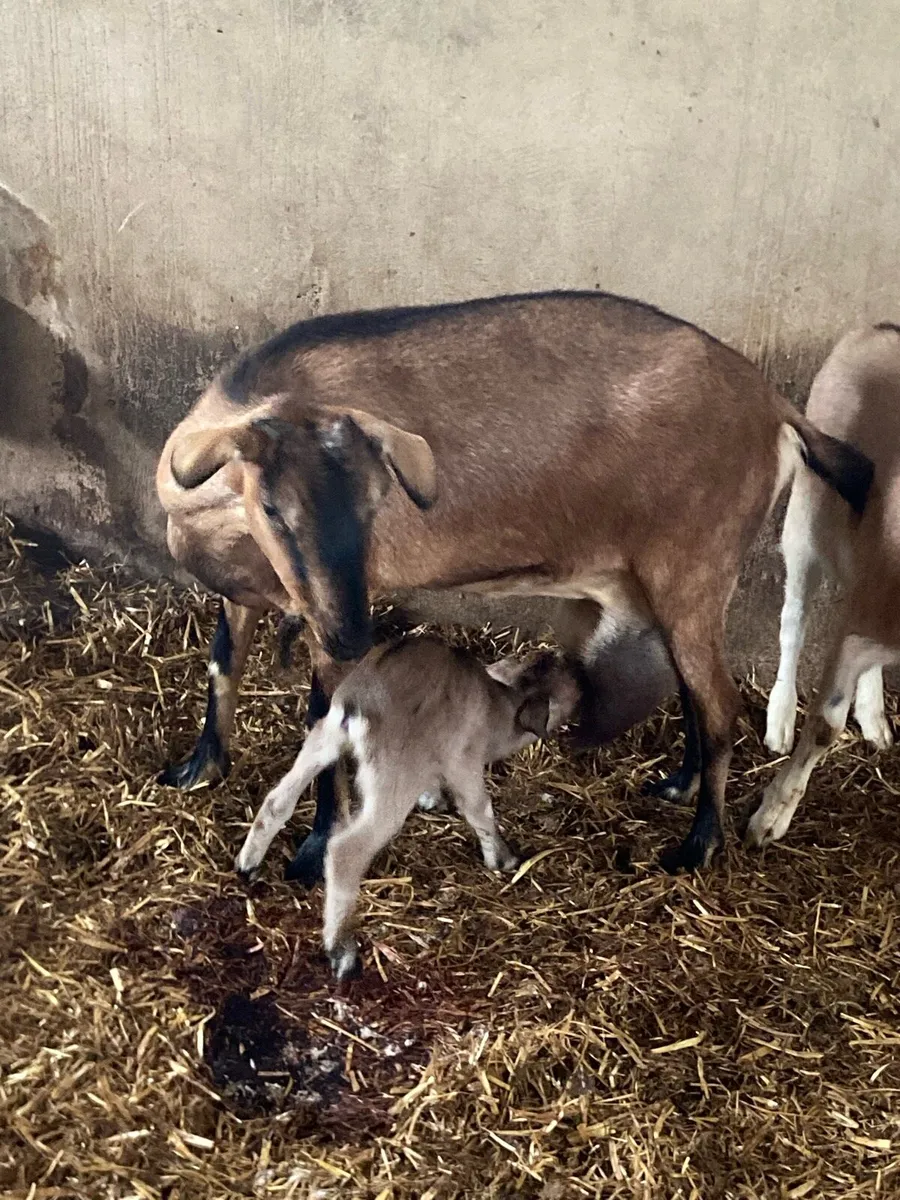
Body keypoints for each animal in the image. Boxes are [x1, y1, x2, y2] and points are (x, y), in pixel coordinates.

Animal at [156, 290, 872, 880]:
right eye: (273, 508)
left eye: (377, 502)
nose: (355, 632)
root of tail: (775, 406)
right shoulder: (250, 596)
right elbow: (223, 665)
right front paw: (196, 770)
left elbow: (322, 723)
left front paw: (309, 854)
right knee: (696, 692)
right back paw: (679, 785)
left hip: (695, 568)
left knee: (720, 704)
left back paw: (697, 847)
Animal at [234, 636, 581, 978]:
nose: (579, 672)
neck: (498, 707)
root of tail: (356, 704)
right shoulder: (463, 762)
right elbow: (479, 809)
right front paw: (503, 859)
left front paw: (432, 799)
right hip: (393, 774)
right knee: (347, 851)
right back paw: (342, 952)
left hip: (324, 739)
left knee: (276, 802)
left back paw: (247, 865)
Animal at [748, 324, 900, 848]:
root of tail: (874, 330)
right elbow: (823, 726)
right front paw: (769, 818)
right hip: (805, 515)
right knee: (793, 618)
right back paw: (779, 718)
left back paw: (874, 717)